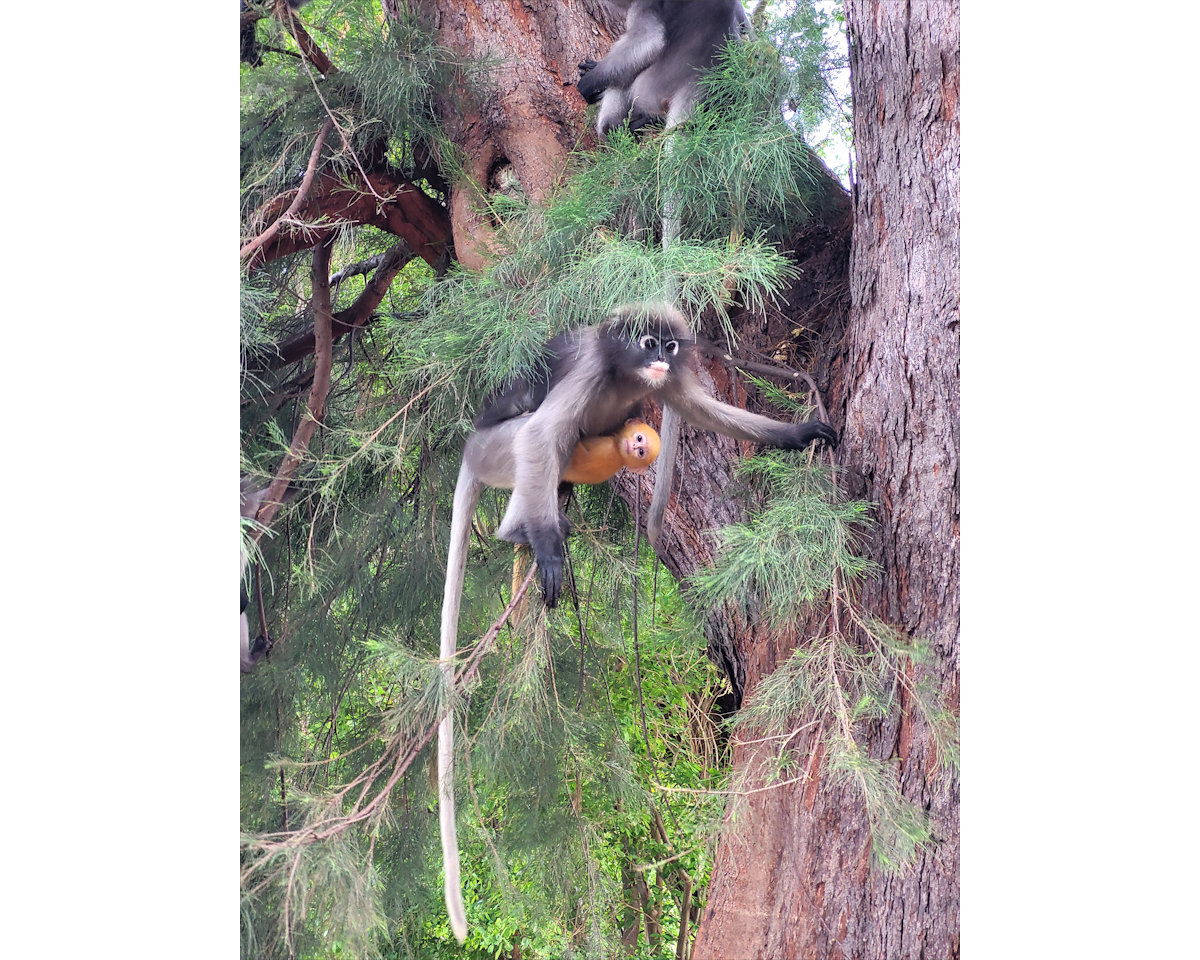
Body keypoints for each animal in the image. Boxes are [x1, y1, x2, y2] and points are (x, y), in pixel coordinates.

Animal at [436, 301, 836, 941]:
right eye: (647, 342)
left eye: (670, 347)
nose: (659, 360)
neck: (626, 376)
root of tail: (469, 450)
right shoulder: (586, 373)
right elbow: (539, 433)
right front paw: (547, 549)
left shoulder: (667, 387)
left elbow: (703, 411)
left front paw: (797, 435)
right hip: (492, 451)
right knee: (536, 438)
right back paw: (526, 530)